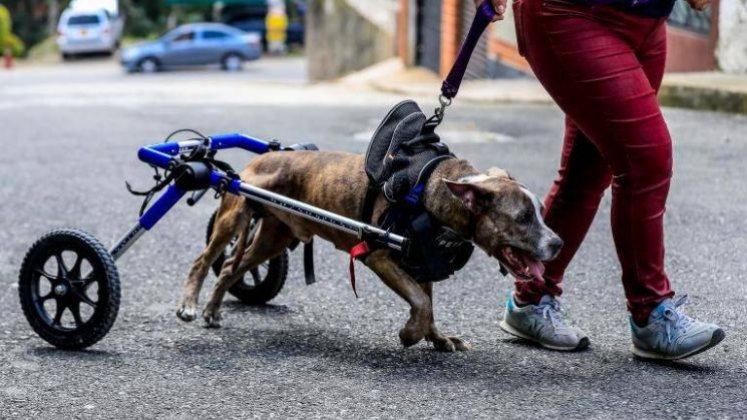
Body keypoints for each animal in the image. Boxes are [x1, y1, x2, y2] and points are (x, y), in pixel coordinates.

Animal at [177, 151, 560, 352]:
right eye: (522, 218)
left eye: (541, 212)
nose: (558, 243)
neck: (439, 195)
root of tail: (258, 159)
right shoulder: (378, 256)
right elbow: (420, 304)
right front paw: (410, 335)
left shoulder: (422, 267)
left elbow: (428, 307)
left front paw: (437, 338)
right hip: (233, 217)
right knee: (204, 261)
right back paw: (190, 305)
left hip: (275, 237)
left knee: (231, 267)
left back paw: (212, 309)